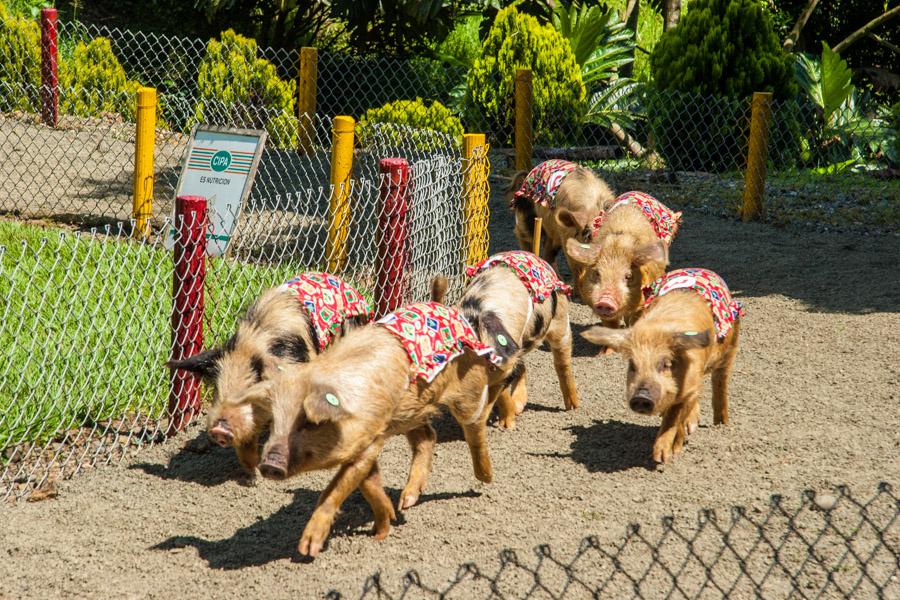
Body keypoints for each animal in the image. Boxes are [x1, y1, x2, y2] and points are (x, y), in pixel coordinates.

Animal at [165, 272, 372, 474]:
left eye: (253, 385)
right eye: (218, 388)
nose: (219, 430)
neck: (253, 341)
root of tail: (340, 280)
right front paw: (251, 467)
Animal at [237, 302, 506, 556]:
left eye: (309, 423)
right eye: (276, 421)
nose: (269, 464)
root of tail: (459, 314)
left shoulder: (369, 441)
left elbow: (335, 489)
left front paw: (307, 549)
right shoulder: (369, 438)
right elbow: (369, 484)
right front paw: (383, 529)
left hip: (468, 388)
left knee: (475, 426)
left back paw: (485, 478)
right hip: (410, 411)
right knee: (428, 437)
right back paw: (407, 501)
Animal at [432, 251, 580, 428]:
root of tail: (532, 255)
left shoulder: (505, 358)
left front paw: (505, 425)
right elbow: (502, 392)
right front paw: (507, 421)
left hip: (560, 320)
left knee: (562, 362)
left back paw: (573, 406)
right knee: (522, 367)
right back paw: (519, 406)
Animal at [584, 268, 744, 464]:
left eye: (666, 364)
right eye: (632, 365)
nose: (641, 397)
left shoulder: (691, 386)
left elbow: (675, 415)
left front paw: (663, 457)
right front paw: (669, 451)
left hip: (730, 348)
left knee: (721, 383)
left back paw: (721, 423)